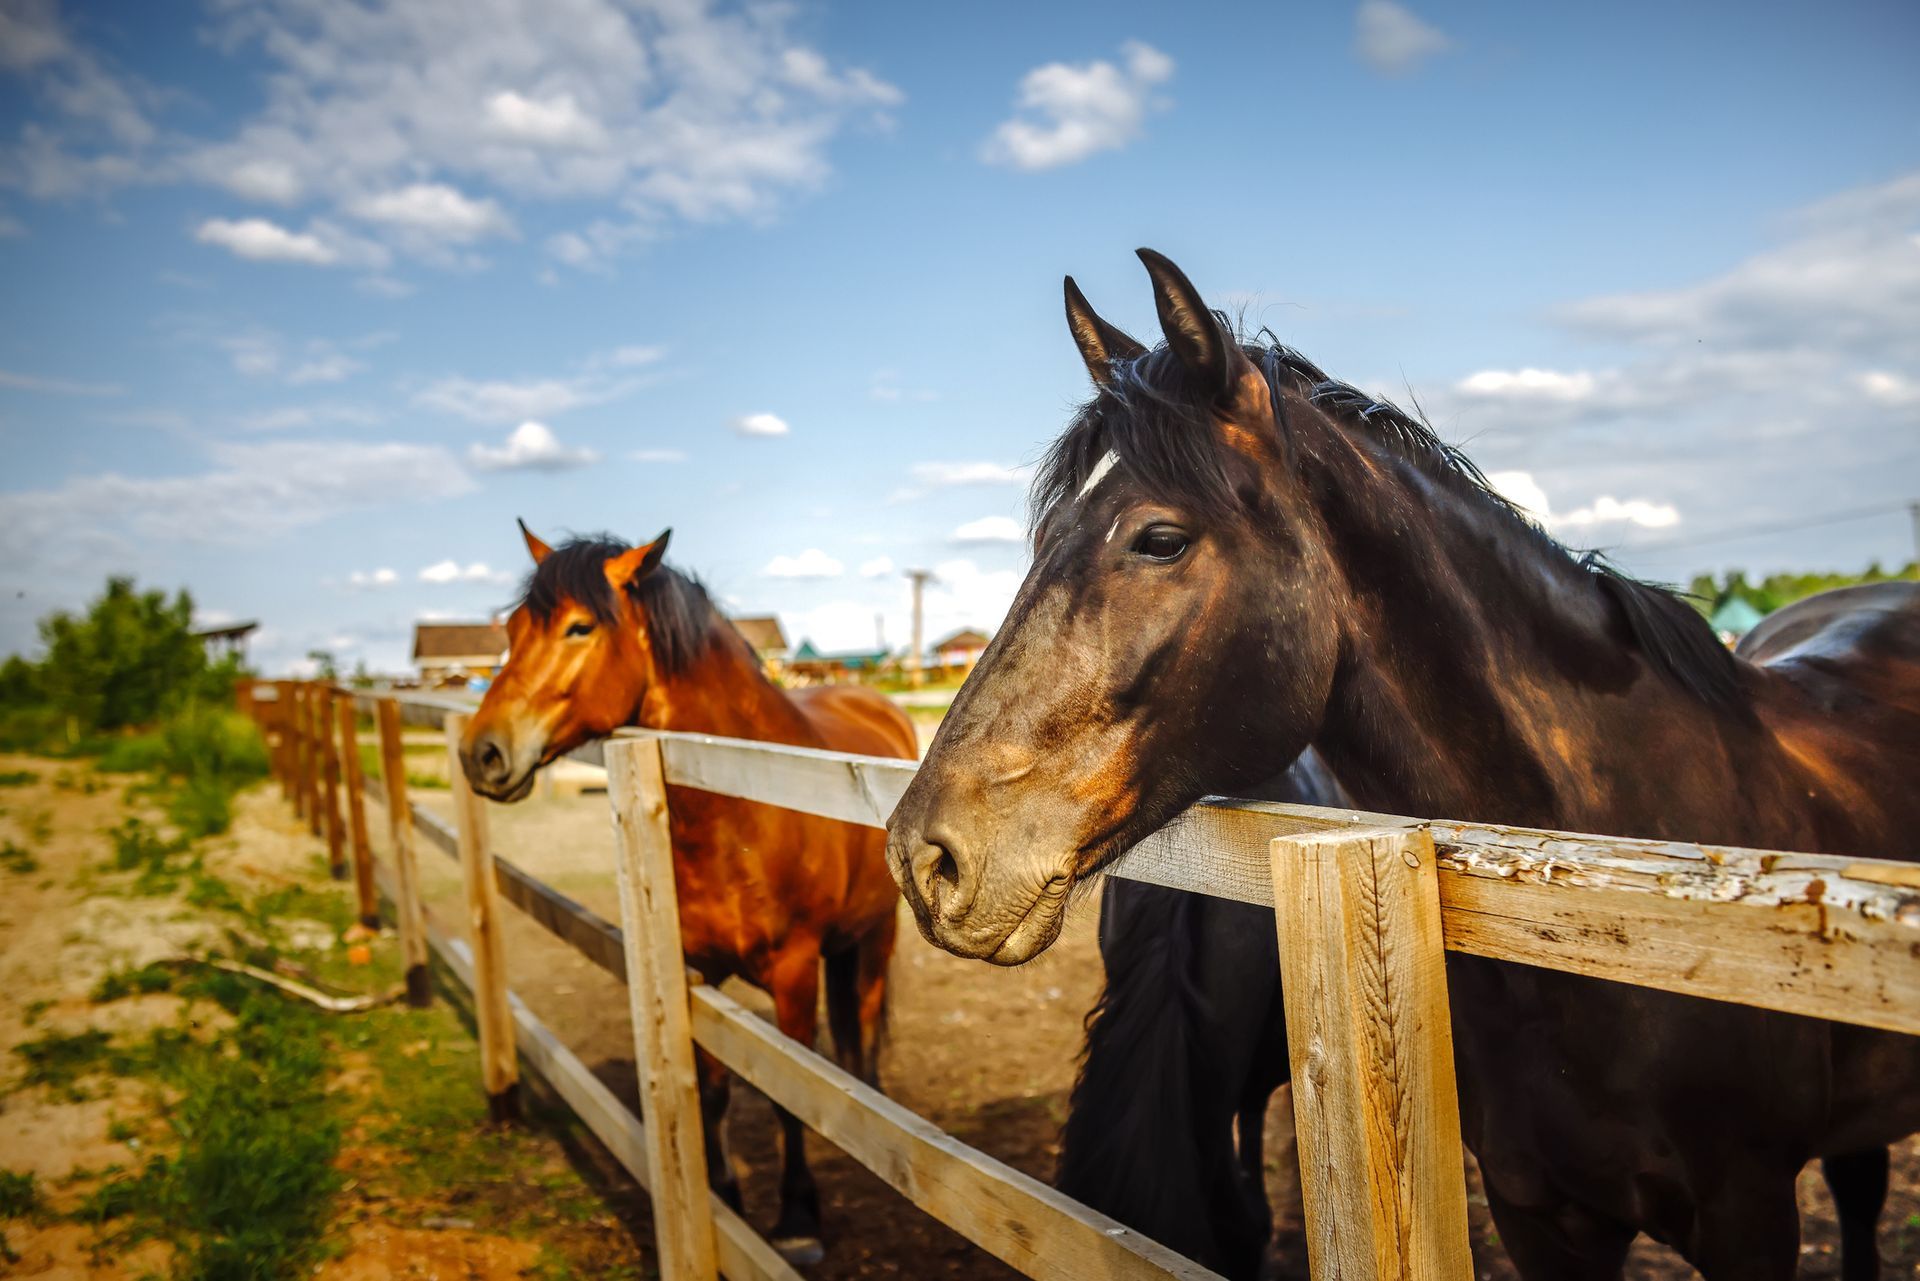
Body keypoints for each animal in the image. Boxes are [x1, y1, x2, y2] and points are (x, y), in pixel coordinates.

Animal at [460, 521, 918, 1264]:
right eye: (514, 629)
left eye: (580, 626)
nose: (482, 753)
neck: (742, 805)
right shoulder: (694, 966)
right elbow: (714, 1090)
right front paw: (725, 1198)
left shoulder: (793, 971)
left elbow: (786, 1093)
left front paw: (798, 1219)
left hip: (879, 933)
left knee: (868, 1017)